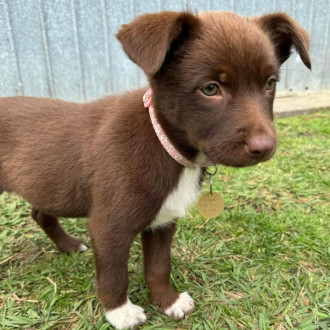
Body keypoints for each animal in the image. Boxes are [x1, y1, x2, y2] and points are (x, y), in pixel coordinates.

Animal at [0, 11, 310, 328]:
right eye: (210, 89)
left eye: (270, 84)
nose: (266, 147)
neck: (165, 145)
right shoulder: (110, 227)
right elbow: (114, 275)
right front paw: (120, 312)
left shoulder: (163, 219)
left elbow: (159, 266)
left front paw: (168, 301)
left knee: (40, 212)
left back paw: (69, 246)